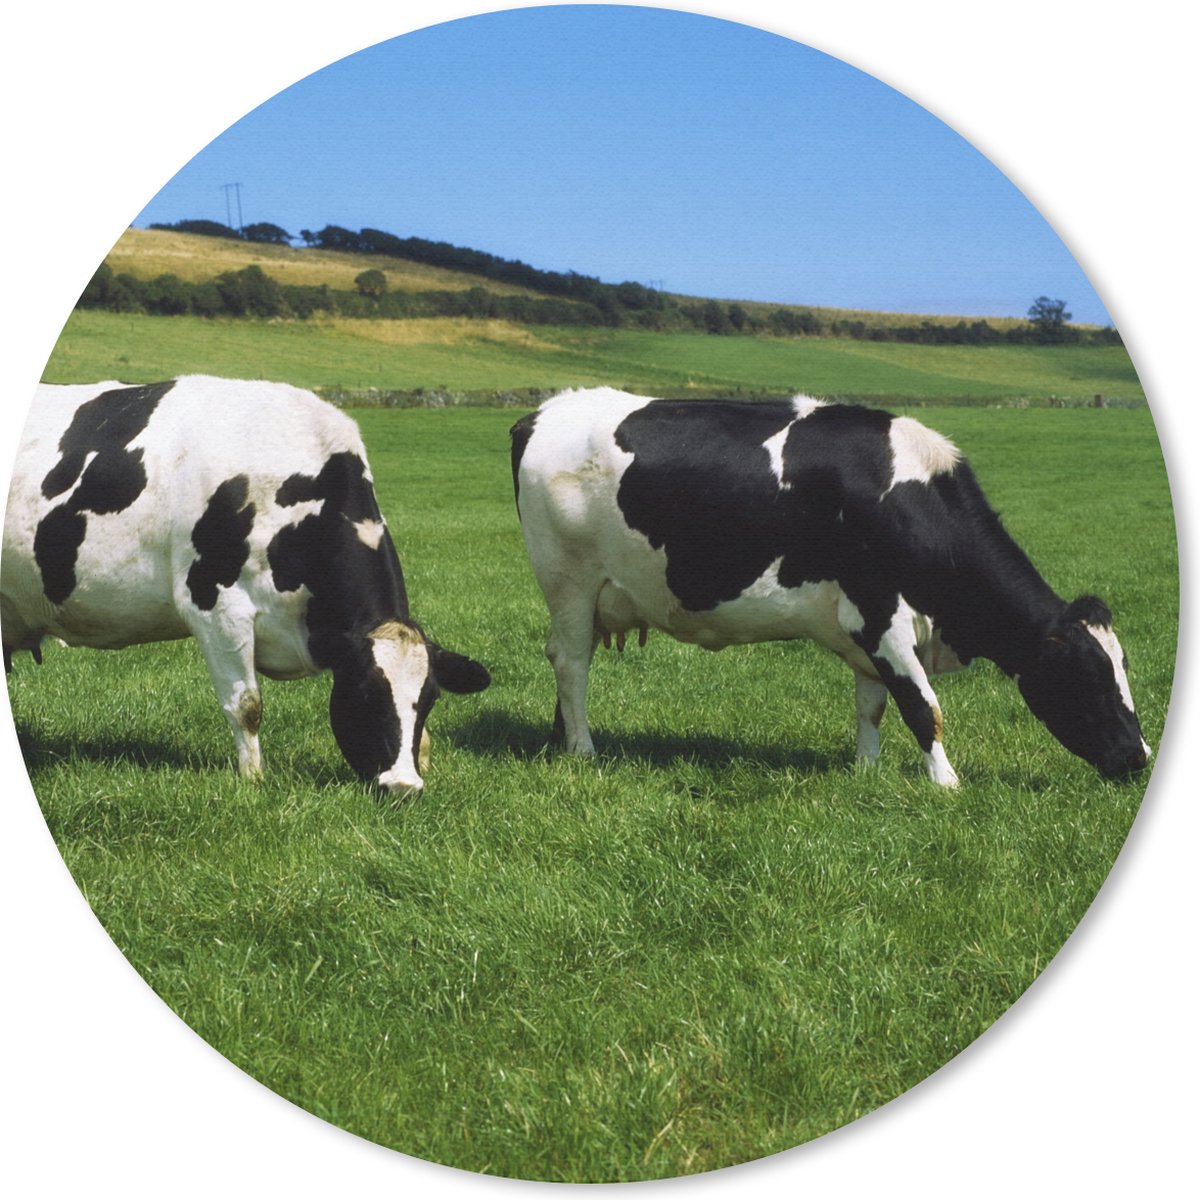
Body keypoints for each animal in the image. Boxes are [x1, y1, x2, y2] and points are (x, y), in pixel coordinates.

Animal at [2, 375, 490, 794]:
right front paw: (253, 780)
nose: (403, 788)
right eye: (366, 694)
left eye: (430, 699)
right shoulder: (217, 607)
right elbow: (247, 705)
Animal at [510, 388, 1149, 787]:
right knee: (571, 662)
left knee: (567, 666)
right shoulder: (881, 615)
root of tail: (542, 413)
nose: (1138, 758)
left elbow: (873, 704)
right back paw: (584, 749)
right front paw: (946, 782)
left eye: (1122, 668)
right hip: (569, 580)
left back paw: (563, 740)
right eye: (1087, 677)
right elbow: (923, 706)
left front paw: (866, 770)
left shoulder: (865, 631)